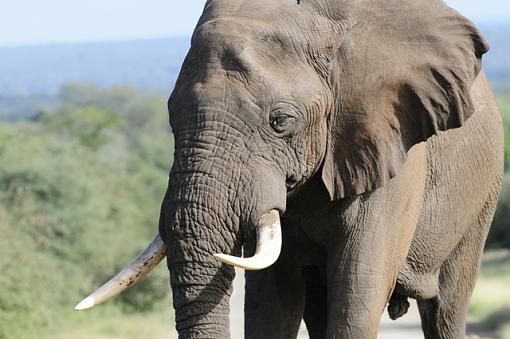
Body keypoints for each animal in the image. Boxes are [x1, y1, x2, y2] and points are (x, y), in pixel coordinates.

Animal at [73, 0, 504, 339]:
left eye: (280, 121)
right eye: (171, 117)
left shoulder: (390, 146)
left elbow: (358, 292)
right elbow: (270, 301)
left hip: (483, 195)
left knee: (445, 310)